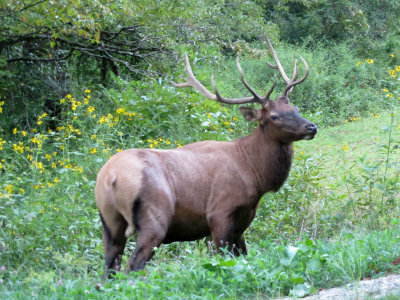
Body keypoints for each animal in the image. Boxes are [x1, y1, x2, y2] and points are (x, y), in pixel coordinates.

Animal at [95, 38, 318, 276]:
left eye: (295, 108)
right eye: (274, 116)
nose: (311, 127)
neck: (254, 175)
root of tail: (111, 177)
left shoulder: (244, 220)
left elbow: (244, 256)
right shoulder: (219, 212)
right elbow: (224, 258)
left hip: (109, 222)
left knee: (109, 268)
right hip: (155, 216)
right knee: (132, 266)